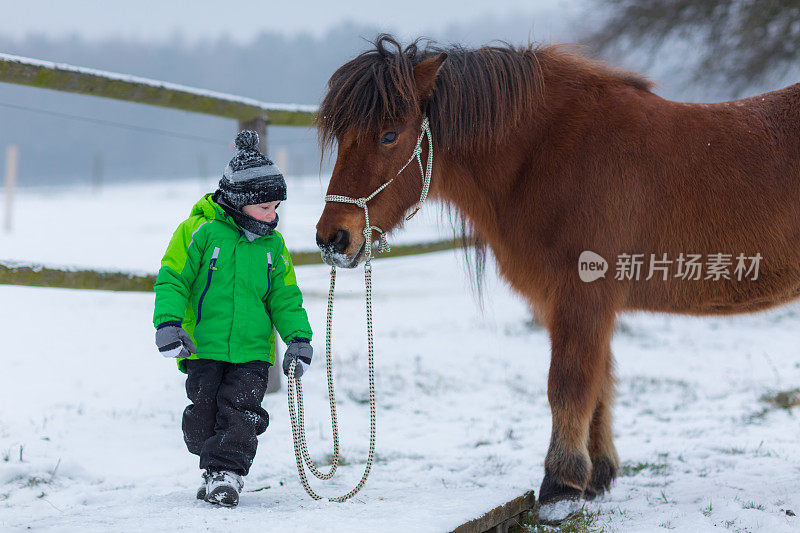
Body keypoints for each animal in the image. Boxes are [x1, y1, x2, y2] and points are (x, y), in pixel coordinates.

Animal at [312, 33, 800, 520]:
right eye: (339, 136)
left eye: (389, 134)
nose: (333, 238)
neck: (548, 155)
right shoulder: (573, 304)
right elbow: (599, 383)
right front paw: (597, 478)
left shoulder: (582, 297)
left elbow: (569, 384)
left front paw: (560, 486)